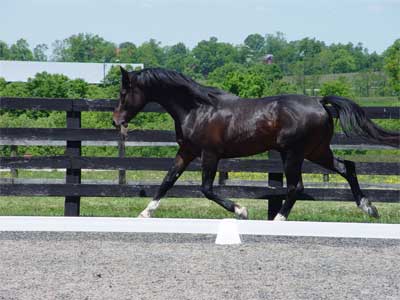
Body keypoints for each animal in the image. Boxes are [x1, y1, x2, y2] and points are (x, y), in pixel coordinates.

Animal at [113, 66, 400, 220]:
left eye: (124, 92)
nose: (116, 121)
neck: (197, 108)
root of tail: (319, 102)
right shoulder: (187, 151)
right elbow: (168, 180)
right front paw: (145, 213)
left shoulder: (210, 154)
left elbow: (206, 189)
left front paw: (241, 210)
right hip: (316, 151)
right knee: (347, 167)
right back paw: (369, 208)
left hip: (294, 153)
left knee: (297, 186)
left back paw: (278, 219)